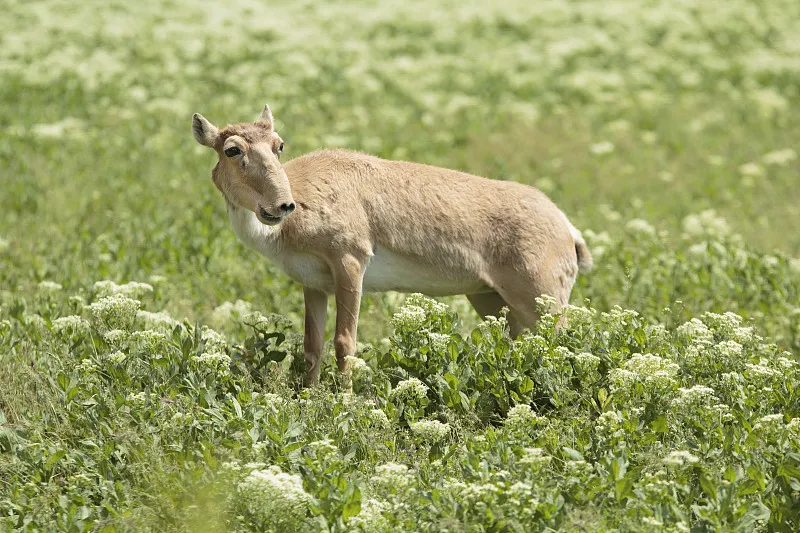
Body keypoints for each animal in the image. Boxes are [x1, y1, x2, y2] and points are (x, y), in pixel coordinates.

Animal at [191, 106, 592, 384]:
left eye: (279, 145)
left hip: (544, 303)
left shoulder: (351, 263)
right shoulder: (313, 284)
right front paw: (310, 396)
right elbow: (312, 346)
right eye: (231, 150)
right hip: (493, 301)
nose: (282, 206)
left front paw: (343, 403)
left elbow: (344, 342)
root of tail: (568, 228)